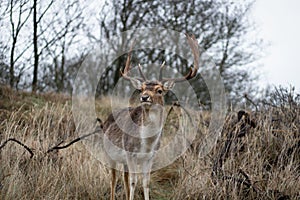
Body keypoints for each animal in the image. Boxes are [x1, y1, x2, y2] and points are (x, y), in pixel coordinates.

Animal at [102, 33, 199, 199]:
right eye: (141, 89)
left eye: (159, 90)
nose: (144, 97)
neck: (146, 143)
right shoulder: (130, 153)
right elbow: (134, 181)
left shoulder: (150, 157)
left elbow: (145, 182)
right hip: (109, 153)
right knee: (113, 179)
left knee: (124, 178)